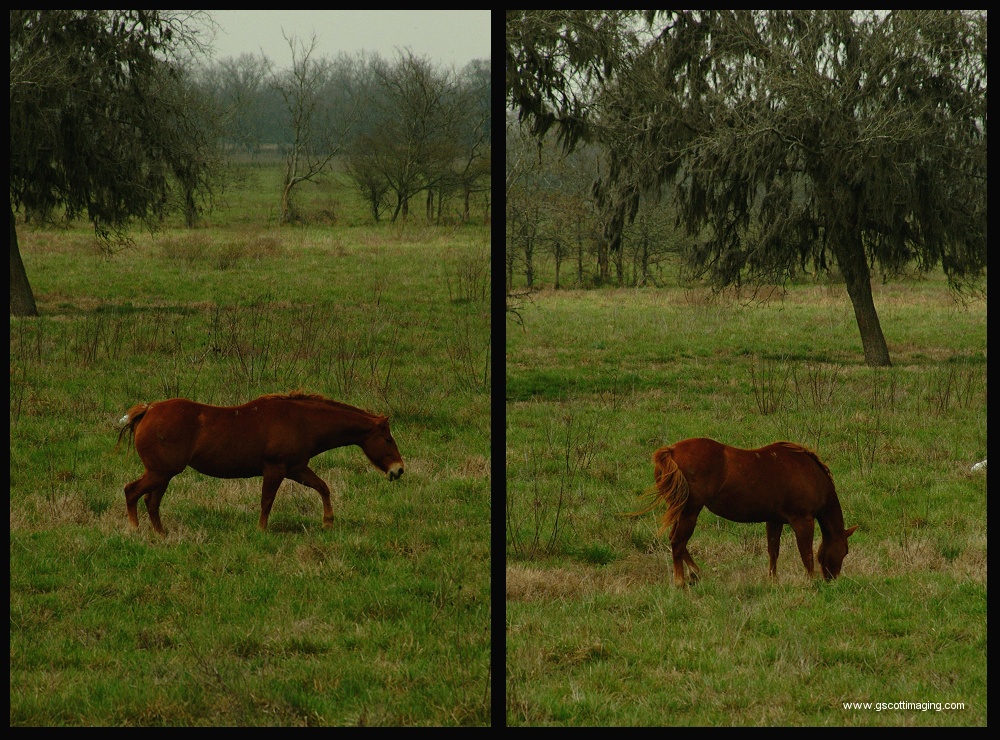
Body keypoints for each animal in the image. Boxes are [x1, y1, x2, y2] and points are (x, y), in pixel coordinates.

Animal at [117, 392, 404, 534]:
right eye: (388, 439)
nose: (399, 469)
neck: (303, 420)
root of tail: (148, 410)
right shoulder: (275, 469)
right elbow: (267, 501)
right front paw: (261, 530)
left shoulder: (296, 469)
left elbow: (323, 487)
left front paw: (328, 522)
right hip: (160, 472)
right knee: (131, 492)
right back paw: (135, 529)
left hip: (163, 475)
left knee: (151, 502)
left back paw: (161, 533)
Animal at [629, 438, 856, 587]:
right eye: (845, 550)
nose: (832, 580)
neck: (809, 473)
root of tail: (672, 450)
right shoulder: (802, 520)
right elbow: (806, 554)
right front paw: (811, 582)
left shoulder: (774, 520)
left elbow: (773, 551)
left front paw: (773, 581)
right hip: (689, 511)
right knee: (677, 542)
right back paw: (680, 581)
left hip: (680, 510)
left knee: (677, 541)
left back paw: (696, 573)